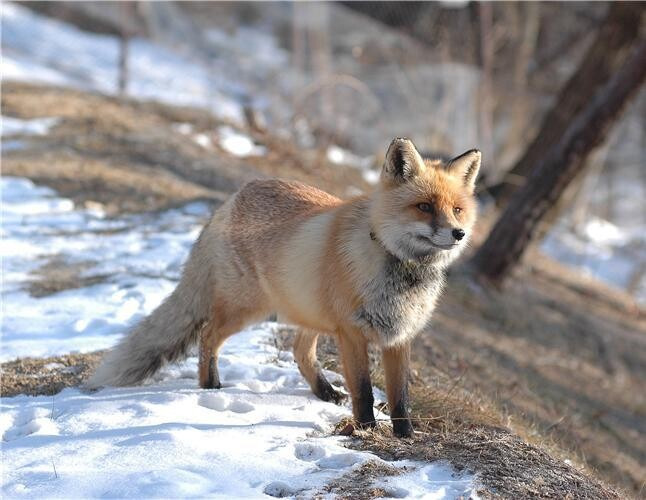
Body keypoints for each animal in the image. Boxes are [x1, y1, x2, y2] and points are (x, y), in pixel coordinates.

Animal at [88, 138, 478, 438]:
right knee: (208, 336)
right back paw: (210, 385)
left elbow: (401, 397)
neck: (398, 269)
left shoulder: (399, 336)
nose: (459, 234)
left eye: (457, 210)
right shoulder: (352, 333)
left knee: (299, 351)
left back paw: (325, 392)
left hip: (306, 309)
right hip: (248, 309)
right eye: (424, 207)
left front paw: (405, 435)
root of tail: (233, 197)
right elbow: (365, 392)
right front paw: (367, 430)